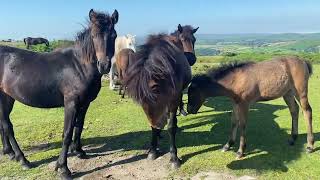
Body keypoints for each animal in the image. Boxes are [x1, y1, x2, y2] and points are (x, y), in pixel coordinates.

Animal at [0, 8, 119, 179]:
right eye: (94, 35)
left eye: (114, 35)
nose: (103, 66)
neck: (79, 65)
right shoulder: (71, 103)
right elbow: (67, 132)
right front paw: (63, 168)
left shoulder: (85, 103)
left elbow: (79, 127)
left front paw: (79, 151)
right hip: (4, 98)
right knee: (7, 126)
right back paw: (23, 160)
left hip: (7, 97)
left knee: (3, 125)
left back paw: (9, 153)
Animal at [124, 25, 199, 169]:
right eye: (182, 39)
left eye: (194, 40)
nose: (191, 58)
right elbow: (153, 125)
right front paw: (153, 150)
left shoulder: (173, 99)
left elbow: (171, 126)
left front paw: (174, 157)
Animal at [188, 56, 316, 159]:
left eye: (192, 93)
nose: (189, 110)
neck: (236, 79)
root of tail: (303, 61)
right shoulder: (235, 103)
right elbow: (234, 122)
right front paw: (228, 145)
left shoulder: (244, 104)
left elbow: (242, 124)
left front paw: (240, 151)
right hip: (287, 93)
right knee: (294, 110)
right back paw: (293, 138)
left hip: (300, 92)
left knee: (307, 111)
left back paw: (310, 146)